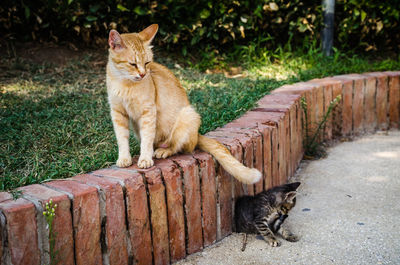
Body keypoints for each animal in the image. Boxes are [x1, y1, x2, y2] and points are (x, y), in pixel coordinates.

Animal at [108, 24, 260, 184]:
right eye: (132, 64)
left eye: (147, 63)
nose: (143, 74)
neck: (125, 84)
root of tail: (197, 134)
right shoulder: (117, 113)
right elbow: (122, 138)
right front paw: (124, 158)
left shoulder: (148, 112)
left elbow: (147, 139)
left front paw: (145, 158)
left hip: (187, 115)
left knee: (177, 147)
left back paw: (163, 150)